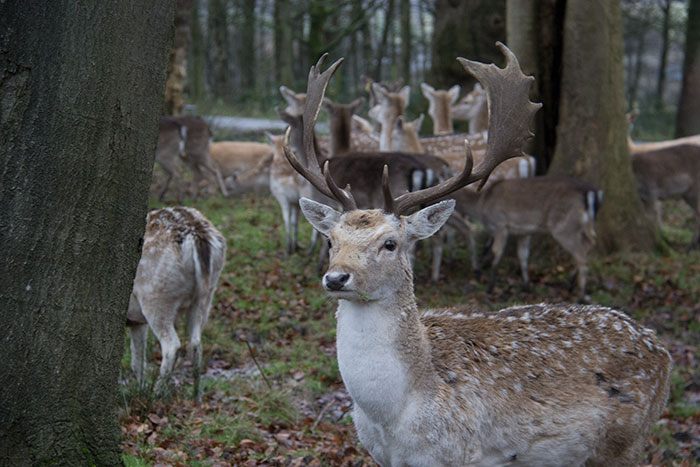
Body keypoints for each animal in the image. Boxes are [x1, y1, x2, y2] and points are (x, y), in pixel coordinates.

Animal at [127, 206, 226, 399]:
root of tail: (195, 234)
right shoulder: (136, 321)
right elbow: (137, 362)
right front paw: (140, 389)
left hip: (156, 297)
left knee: (172, 346)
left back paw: (155, 395)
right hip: (206, 295)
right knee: (196, 343)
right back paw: (196, 395)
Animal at [454, 177, 603, 298]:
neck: (482, 206)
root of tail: (591, 193)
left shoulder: (501, 224)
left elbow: (497, 253)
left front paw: (489, 287)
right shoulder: (523, 232)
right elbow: (523, 256)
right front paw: (526, 287)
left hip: (564, 227)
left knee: (582, 256)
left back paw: (580, 295)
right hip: (586, 225)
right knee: (591, 243)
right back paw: (570, 284)